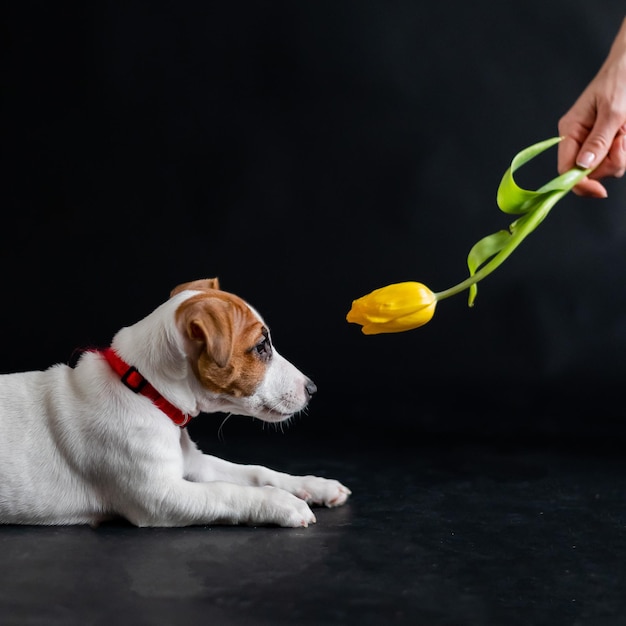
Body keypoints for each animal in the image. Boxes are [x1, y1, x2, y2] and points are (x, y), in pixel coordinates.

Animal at [0, 278, 352, 528]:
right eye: (261, 346)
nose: (312, 389)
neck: (145, 392)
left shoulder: (195, 464)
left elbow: (255, 471)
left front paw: (313, 485)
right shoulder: (160, 496)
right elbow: (229, 492)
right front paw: (284, 503)